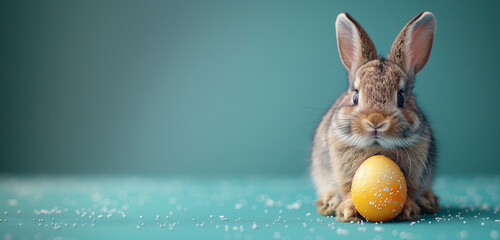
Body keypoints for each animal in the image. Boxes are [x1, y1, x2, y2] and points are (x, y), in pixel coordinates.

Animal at [310, 11, 440, 221]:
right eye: (355, 96)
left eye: (401, 98)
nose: (376, 121)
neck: (377, 148)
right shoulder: (343, 172)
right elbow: (347, 190)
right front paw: (347, 211)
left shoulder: (415, 173)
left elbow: (410, 191)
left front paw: (409, 210)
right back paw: (328, 201)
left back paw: (429, 200)